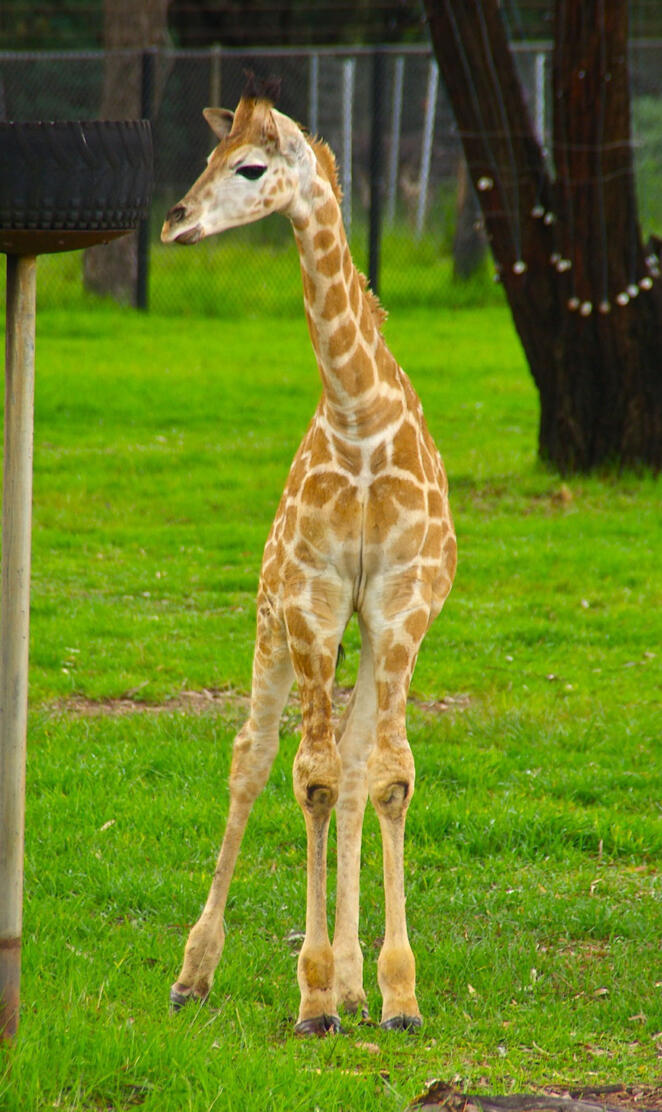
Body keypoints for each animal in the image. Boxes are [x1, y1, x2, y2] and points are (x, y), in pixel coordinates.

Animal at [160, 82, 457, 1036]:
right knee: (253, 760)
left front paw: (394, 992)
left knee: (356, 765)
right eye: (208, 160)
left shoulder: (399, 606)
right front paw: (315, 992)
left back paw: (362, 984)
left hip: (359, 632)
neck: (358, 415)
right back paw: (195, 973)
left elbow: (382, 779)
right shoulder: (312, 600)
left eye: (252, 168)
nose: (176, 222)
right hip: (273, 617)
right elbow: (311, 780)